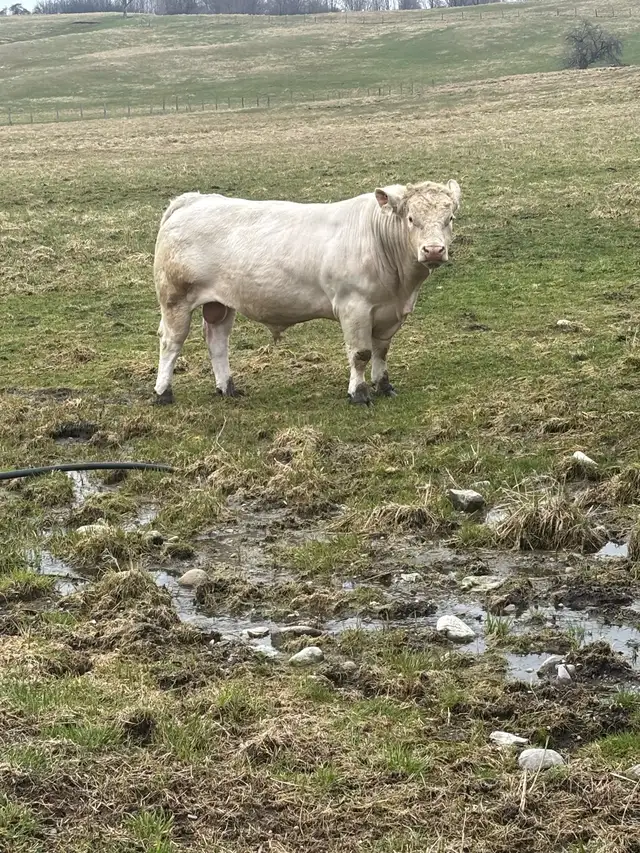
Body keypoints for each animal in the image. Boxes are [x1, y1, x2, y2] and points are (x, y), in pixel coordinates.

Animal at [152, 179, 461, 406]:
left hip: (220, 302)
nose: (434, 250)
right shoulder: (354, 307)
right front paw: (359, 393)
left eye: (450, 218)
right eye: (410, 218)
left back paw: (227, 388)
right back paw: (162, 393)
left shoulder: (388, 313)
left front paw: (384, 386)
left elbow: (381, 351)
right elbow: (360, 353)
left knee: (217, 341)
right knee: (171, 342)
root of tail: (194, 200)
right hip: (175, 298)